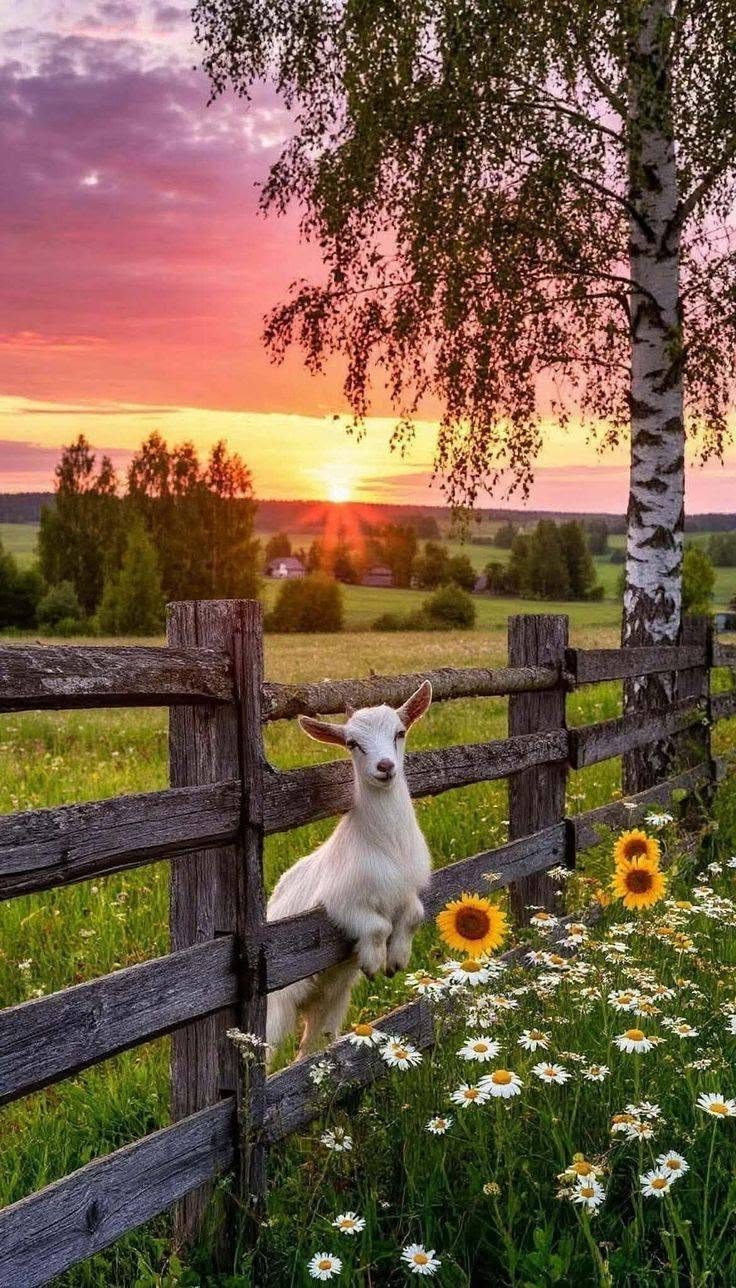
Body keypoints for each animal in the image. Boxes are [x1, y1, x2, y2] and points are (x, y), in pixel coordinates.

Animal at [266, 680, 433, 1061]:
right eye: (352, 743)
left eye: (400, 732)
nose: (385, 766)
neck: (386, 844)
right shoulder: (340, 903)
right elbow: (376, 924)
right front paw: (374, 961)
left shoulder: (407, 888)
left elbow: (414, 914)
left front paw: (397, 958)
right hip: (276, 1006)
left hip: (329, 1000)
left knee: (309, 1050)